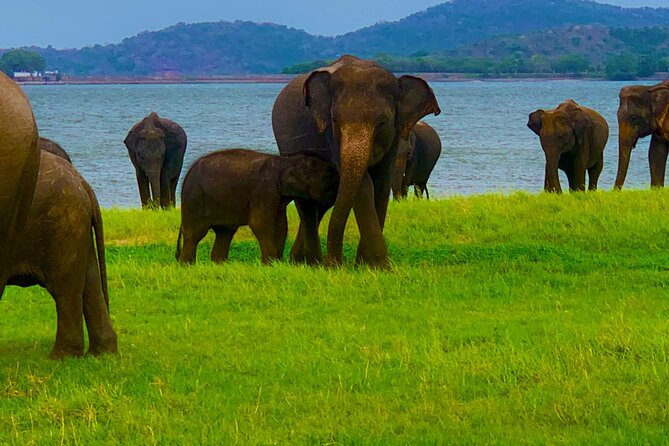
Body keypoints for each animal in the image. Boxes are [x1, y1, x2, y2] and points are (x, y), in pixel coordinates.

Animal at [6, 151, 117, 358]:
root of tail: (83, 182)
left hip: (62, 223)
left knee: (64, 287)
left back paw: (60, 357)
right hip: (76, 226)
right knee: (91, 284)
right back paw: (102, 353)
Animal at [176, 149, 338, 264]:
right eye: (328, 178)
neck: (286, 160)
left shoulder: (277, 197)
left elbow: (281, 226)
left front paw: (277, 263)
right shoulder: (265, 189)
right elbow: (260, 224)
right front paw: (270, 264)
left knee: (225, 232)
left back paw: (219, 264)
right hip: (194, 199)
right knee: (195, 234)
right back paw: (187, 266)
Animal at [272, 55, 441, 267]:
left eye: (382, 122)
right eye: (335, 120)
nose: (334, 263)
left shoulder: (394, 137)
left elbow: (381, 183)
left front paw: (370, 266)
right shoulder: (331, 137)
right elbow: (364, 185)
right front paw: (378, 266)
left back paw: (303, 261)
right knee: (307, 204)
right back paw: (310, 262)